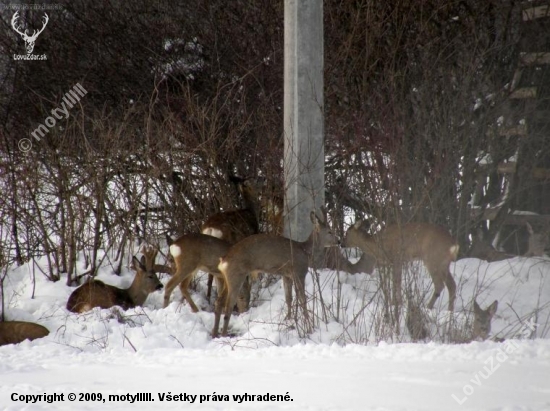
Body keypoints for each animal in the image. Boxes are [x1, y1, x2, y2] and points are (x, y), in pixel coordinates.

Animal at [212, 209, 338, 338]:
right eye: (330, 231)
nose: (338, 241)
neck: (305, 251)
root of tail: (224, 260)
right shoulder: (299, 272)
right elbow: (302, 299)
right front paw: (307, 322)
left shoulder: (287, 275)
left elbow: (289, 298)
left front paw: (289, 319)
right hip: (236, 275)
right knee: (228, 305)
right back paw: (224, 334)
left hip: (226, 277)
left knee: (219, 301)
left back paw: (214, 333)